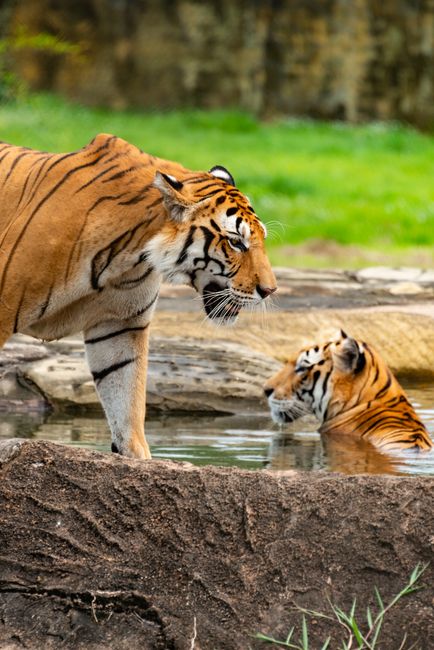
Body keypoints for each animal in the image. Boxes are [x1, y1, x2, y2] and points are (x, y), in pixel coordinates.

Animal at [0, 133, 276, 459]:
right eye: (235, 243)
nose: (270, 290)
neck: (131, 253)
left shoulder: (121, 325)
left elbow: (126, 398)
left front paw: (137, 457)